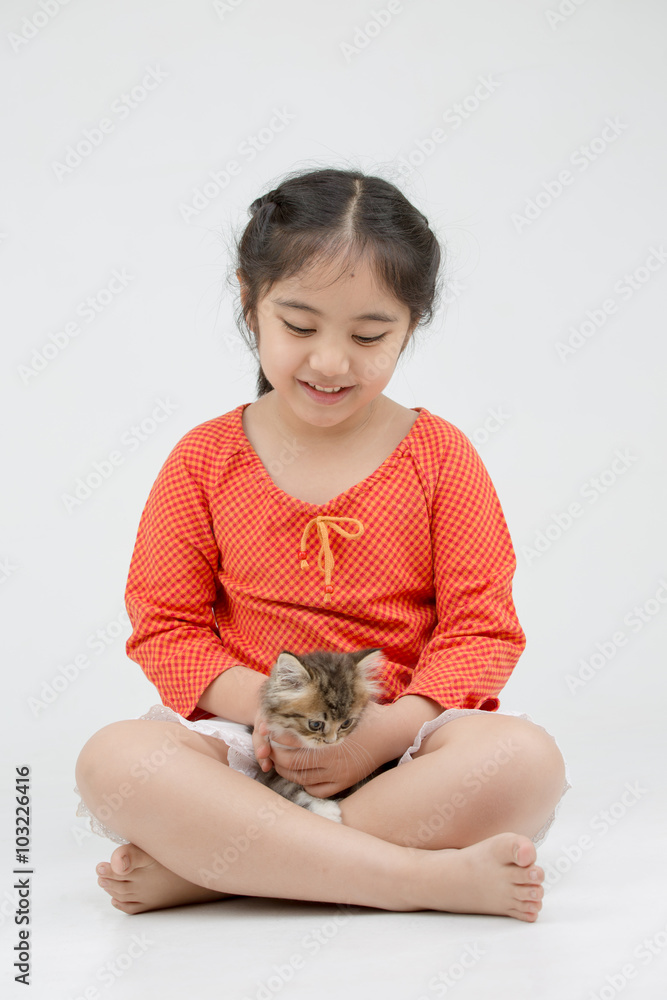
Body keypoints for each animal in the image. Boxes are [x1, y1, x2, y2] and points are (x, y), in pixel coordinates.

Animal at [253, 648, 384, 820]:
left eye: (346, 723)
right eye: (315, 725)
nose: (331, 741)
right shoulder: (274, 770)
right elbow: (292, 792)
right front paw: (326, 810)